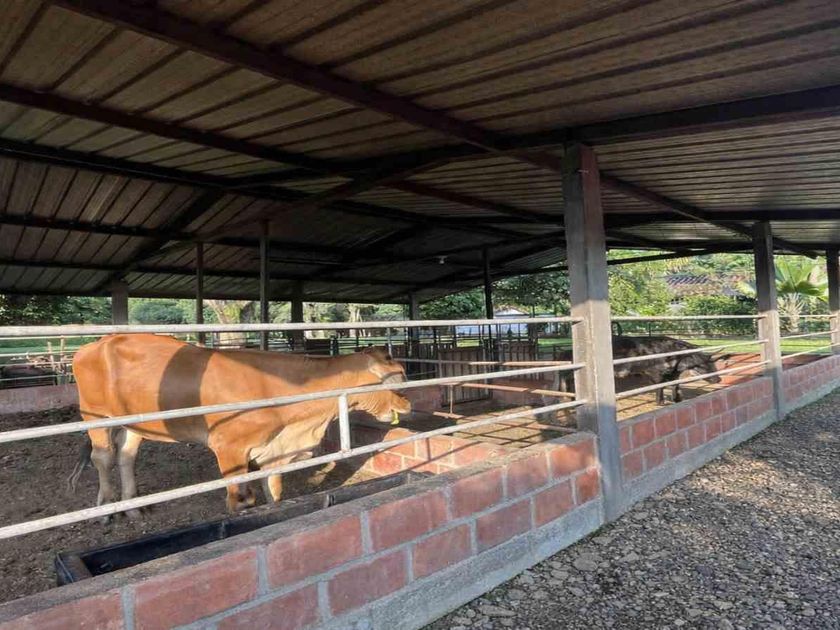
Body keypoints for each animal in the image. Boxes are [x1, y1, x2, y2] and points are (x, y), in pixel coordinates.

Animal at [69, 334, 411, 516]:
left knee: (127, 456)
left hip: (134, 423)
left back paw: (134, 507)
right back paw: (107, 507)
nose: (407, 404)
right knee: (103, 457)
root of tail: (96, 343)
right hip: (95, 415)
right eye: (395, 378)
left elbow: (274, 490)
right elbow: (239, 499)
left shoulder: (275, 451)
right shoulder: (229, 449)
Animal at [557, 336, 727, 405]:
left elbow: (675, 385)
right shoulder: (655, 372)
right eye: (703, 364)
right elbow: (660, 386)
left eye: (714, 364)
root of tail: (566, 351)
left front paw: (678, 399)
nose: (719, 379)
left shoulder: (673, 374)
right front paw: (660, 402)